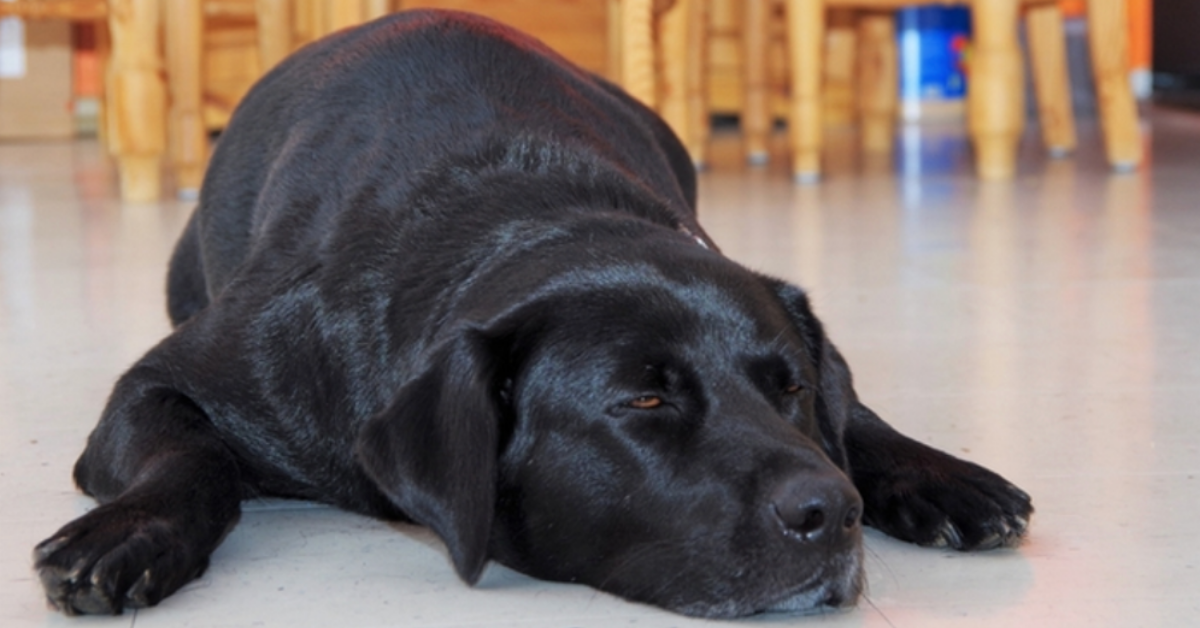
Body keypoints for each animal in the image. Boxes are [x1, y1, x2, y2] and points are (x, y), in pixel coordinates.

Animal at [35, 9, 1032, 619]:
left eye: (786, 389)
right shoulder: (175, 378)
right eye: (643, 401)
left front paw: (921, 472)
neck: (534, 216)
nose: (833, 510)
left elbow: (845, 408)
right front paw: (129, 534)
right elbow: (194, 455)